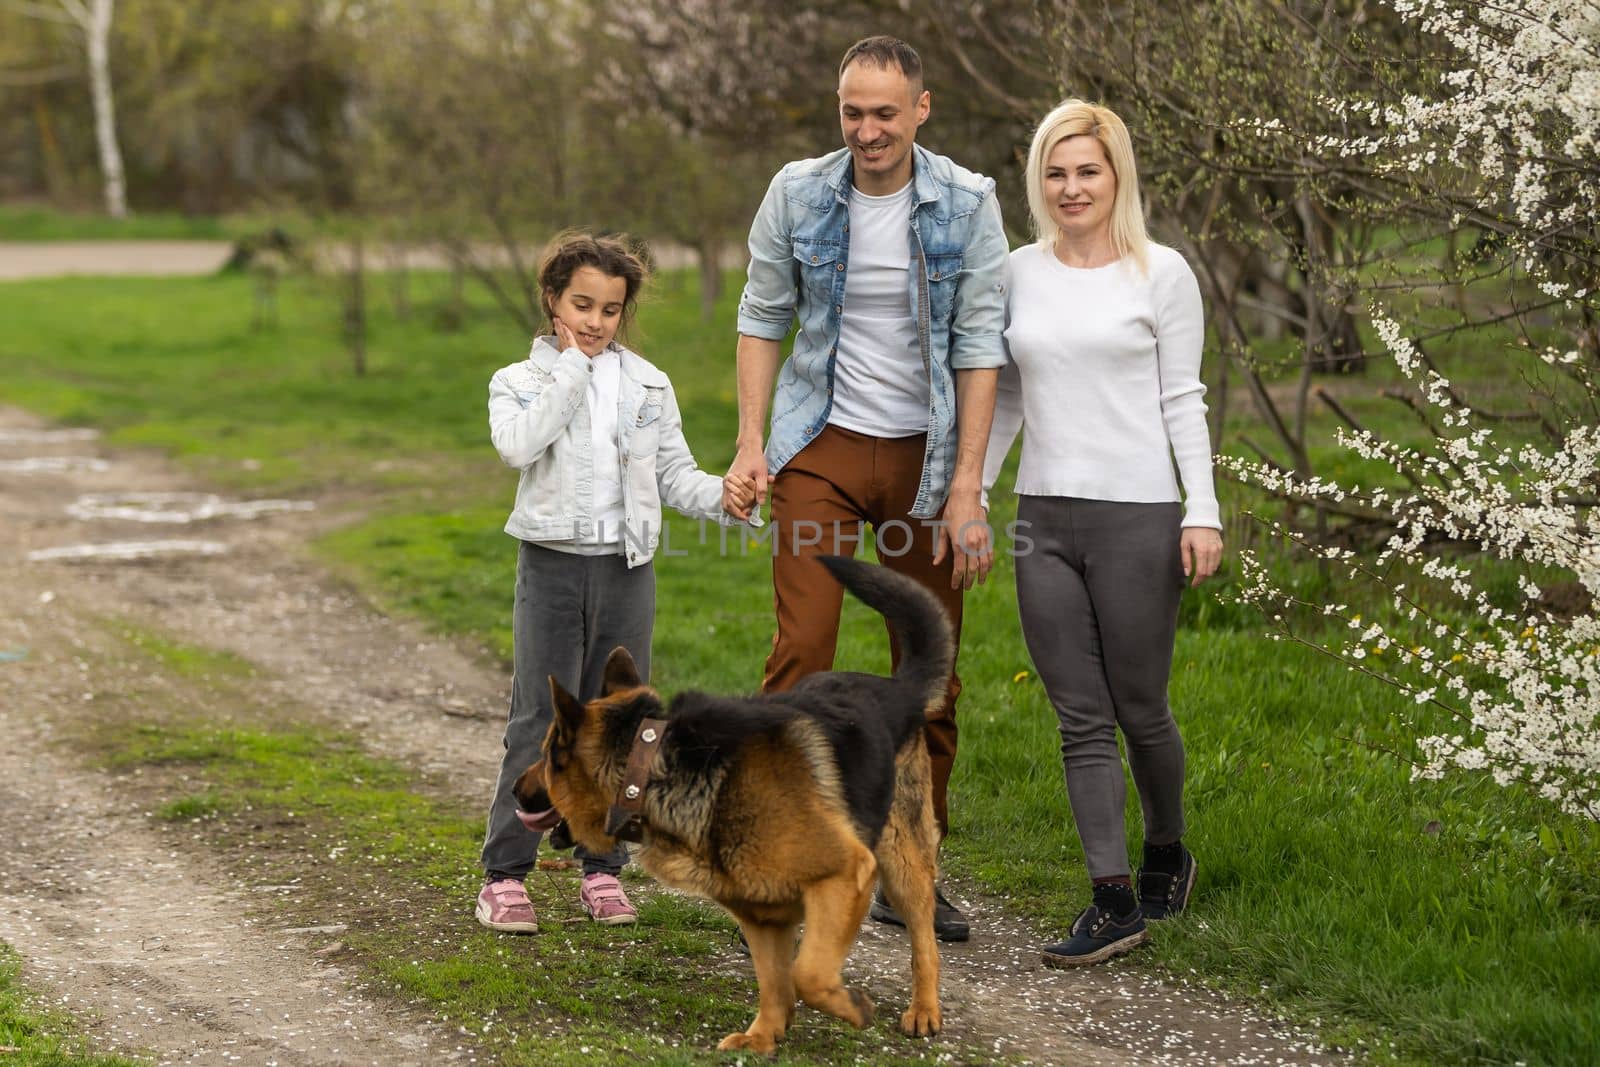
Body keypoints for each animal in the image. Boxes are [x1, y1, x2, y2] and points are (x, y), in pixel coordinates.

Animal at [508, 556, 947, 1055]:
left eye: (547, 756)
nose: (514, 790)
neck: (653, 767)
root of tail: (901, 689)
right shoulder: (761, 912)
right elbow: (776, 980)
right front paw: (764, 1035)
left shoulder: (847, 871)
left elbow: (808, 973)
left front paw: (851, 1008)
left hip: (901, 862)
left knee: (924, 940)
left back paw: (924, 1009)